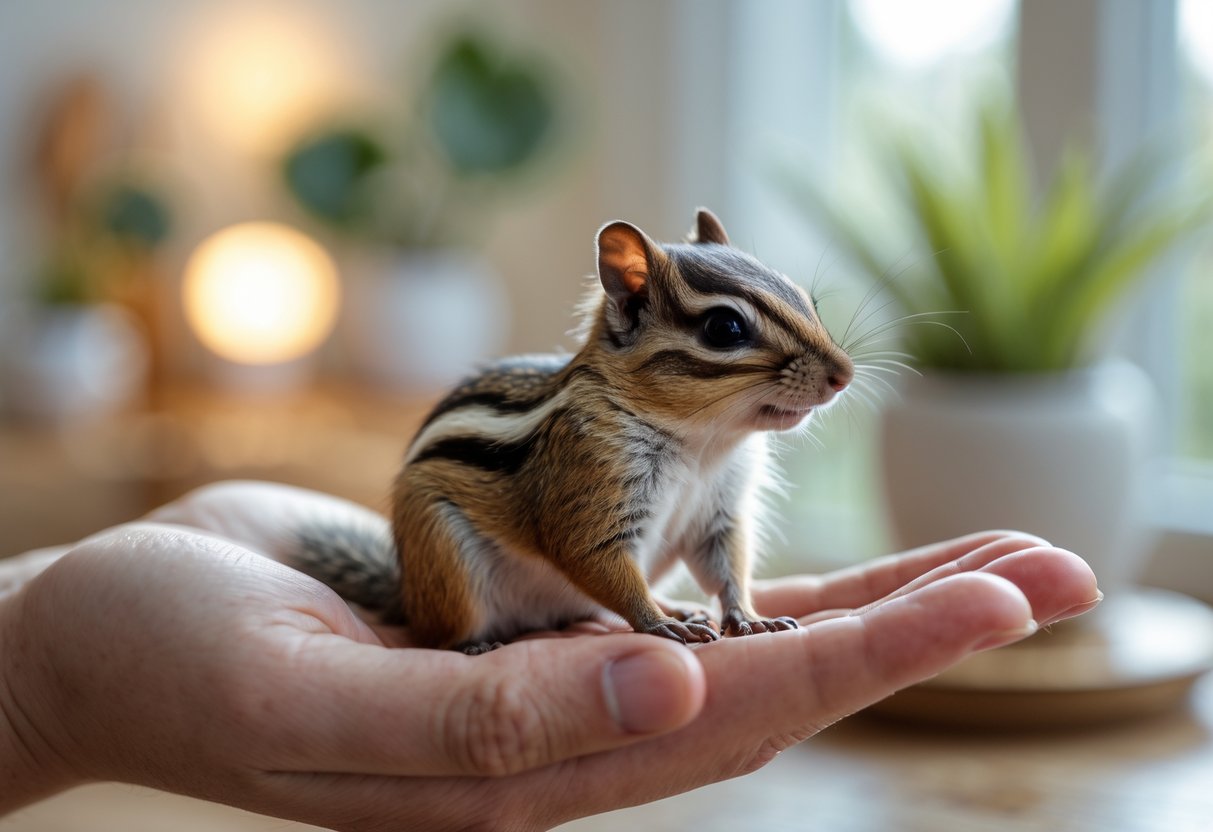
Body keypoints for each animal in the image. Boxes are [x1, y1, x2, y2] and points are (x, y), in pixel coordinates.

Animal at [290, 209, 854, 653]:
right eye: (724, 328)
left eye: (808, 300)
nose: (843, 374)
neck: (703, 443)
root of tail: (407, 595)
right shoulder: (591, 485)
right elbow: (594, 560)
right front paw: (657, 625)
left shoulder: (719, 514)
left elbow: (727, 568)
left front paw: (748, 617)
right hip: (444, 560)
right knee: (439, 632)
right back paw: (473, 644)